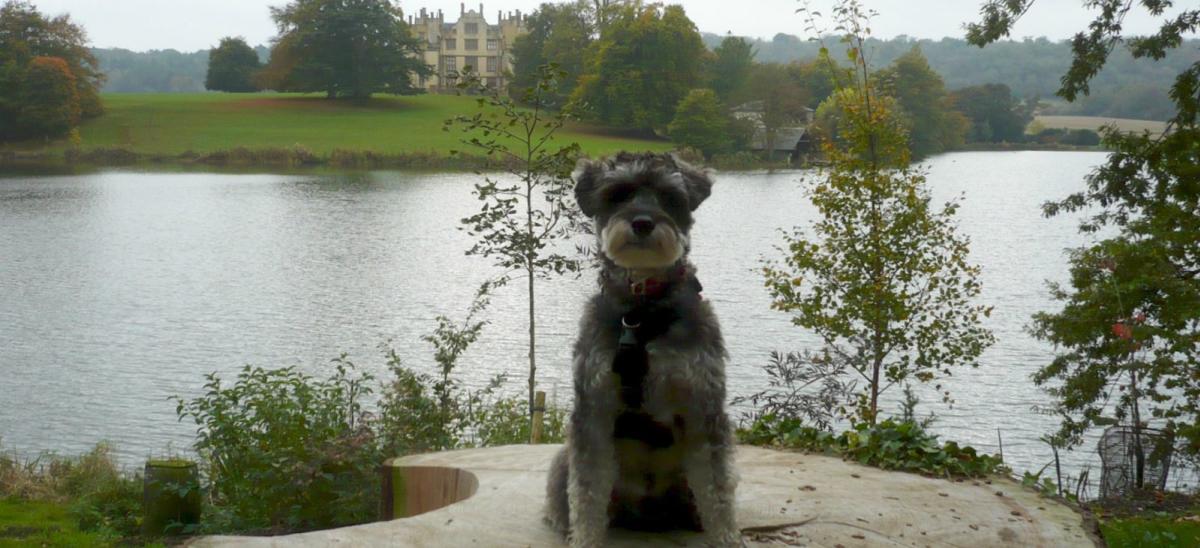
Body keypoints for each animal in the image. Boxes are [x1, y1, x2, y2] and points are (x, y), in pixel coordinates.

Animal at [547, 151, 739, 544]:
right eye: (618, 193)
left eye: (669, 196)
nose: (642, 223)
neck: (641, 310)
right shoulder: (593, 409)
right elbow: (586, 493)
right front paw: (584, 539)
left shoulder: (704, 406)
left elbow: (718, 493)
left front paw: (727, 538)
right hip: (563, 458)